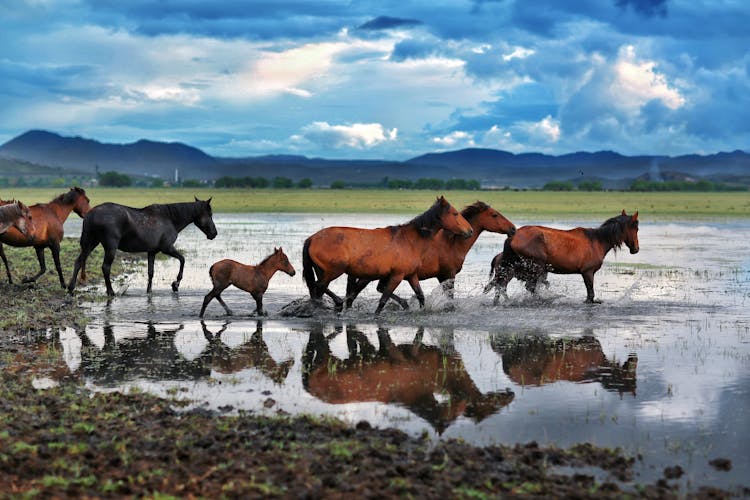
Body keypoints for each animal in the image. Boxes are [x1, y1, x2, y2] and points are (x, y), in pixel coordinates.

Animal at [66, 196, 219, 296]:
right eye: (210, 214)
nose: (214, 233)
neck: (170, 219)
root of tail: (91, 214)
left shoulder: (152, 252)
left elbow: (151, 272)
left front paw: (149, 290)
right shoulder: (167, 248)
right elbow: (182, 259)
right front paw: (176, 284)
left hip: (90, 243)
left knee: (78, 261)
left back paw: (71, 288)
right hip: (110, 247)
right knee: (105, 267)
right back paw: (110, 291)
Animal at [302, 195, 472, 312]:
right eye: (455, 213)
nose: (469, 231)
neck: (411, 240)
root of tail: (312, 238)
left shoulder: (411, 275)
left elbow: (420, 295)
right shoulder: (397, 276)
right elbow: (383, 300)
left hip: (323, 271)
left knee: (319, 289)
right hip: (335, 270)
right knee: (319, 285)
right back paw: (338, 303)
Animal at [346, 201, 516, 310]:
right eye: (494, 215)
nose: (513, 229)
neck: (452, 243)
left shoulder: (440, 276)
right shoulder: (449, 274)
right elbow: (450, 297)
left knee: (373, 290)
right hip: (370, 276)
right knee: (356, 293)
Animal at [488, 210, 640, 302]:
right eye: (636, 228)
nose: (636, 249)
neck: (597, 241)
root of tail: (513, 237)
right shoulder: (588, 272)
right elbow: (590, 294)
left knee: (502, 287)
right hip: (537, 267)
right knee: (528, 287)